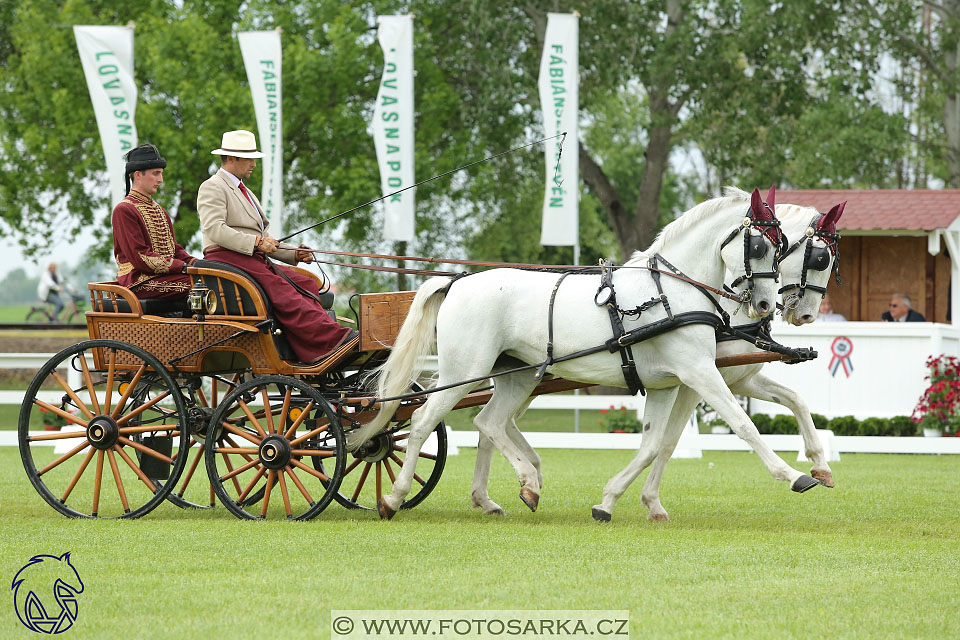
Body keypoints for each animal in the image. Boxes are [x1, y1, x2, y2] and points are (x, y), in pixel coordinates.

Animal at [348, 185, 808, 520]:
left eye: (783, 246)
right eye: (761, 247)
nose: (766, 305)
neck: (671, 291)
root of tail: (457, 281)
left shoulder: (666, 384)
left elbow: (653, 444)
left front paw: (609, 502)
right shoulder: (699, 371)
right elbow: (743, 425)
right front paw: (794, 474)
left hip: (515, 376)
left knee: (488, 422)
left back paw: (518, 488)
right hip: (463, 372)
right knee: (423, 422)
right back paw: (395, 498)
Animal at [592, 199, 848, 520]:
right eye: (821, 259)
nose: (807, 315)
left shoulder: (738, 377)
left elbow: (795, 399)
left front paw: (821, 466)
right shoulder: (696, 379)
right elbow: (670, 440)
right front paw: (648, 500)